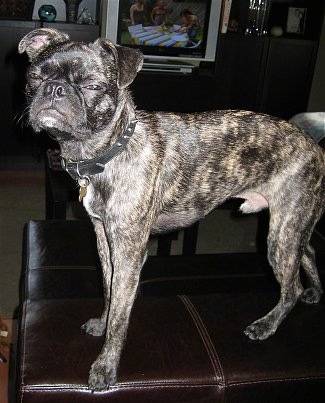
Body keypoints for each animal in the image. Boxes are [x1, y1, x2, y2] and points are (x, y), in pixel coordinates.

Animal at [19, 28, 322, 392]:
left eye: (92, 86)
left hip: (280, 236)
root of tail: (315, 147)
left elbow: (121, 312)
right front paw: (102, 324)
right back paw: (316, 292)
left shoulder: (129, 253)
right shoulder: (105, 241)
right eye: (34, 77)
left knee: (291, 287)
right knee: (309, 252)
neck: (109, 151)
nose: (54, 88)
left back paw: (267, 324)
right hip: (293, 225)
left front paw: (106, 366)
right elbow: (109, 291)